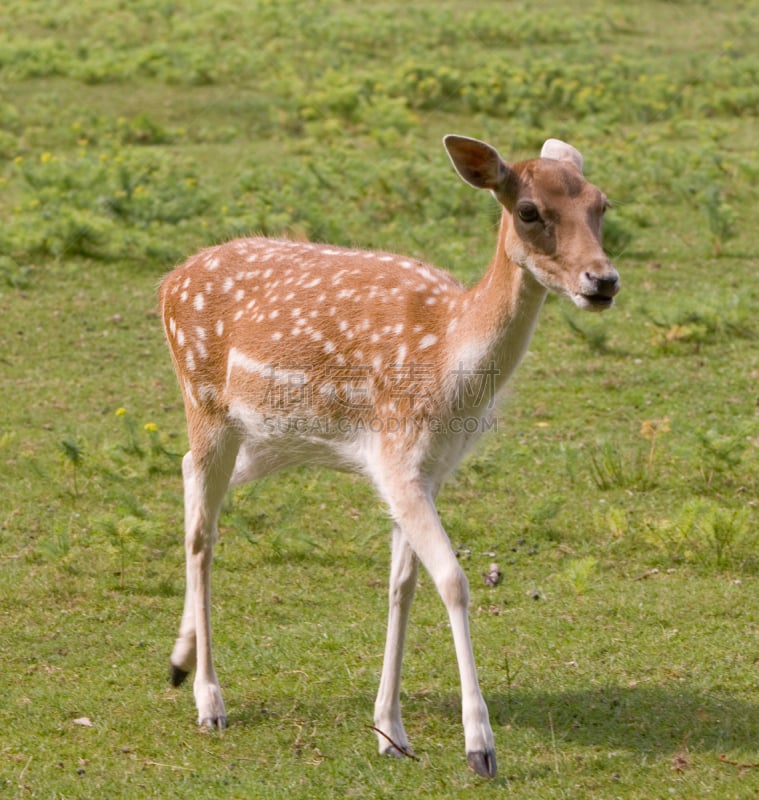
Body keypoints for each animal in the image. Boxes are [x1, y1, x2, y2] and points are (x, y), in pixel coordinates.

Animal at [159, 136, 616, 776]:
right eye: (529, 210)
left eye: (601, 204)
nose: (603, 280)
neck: (448, 361)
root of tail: (168, 281)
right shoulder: (399, 458)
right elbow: (452, 579)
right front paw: (479, 747)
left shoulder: (428, 470)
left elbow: (403, 585)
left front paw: (389, 730)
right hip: (204, 400)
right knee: (202, 531)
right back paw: (209, 701)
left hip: (270, 437)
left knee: (193, 481)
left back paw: (178, 662)